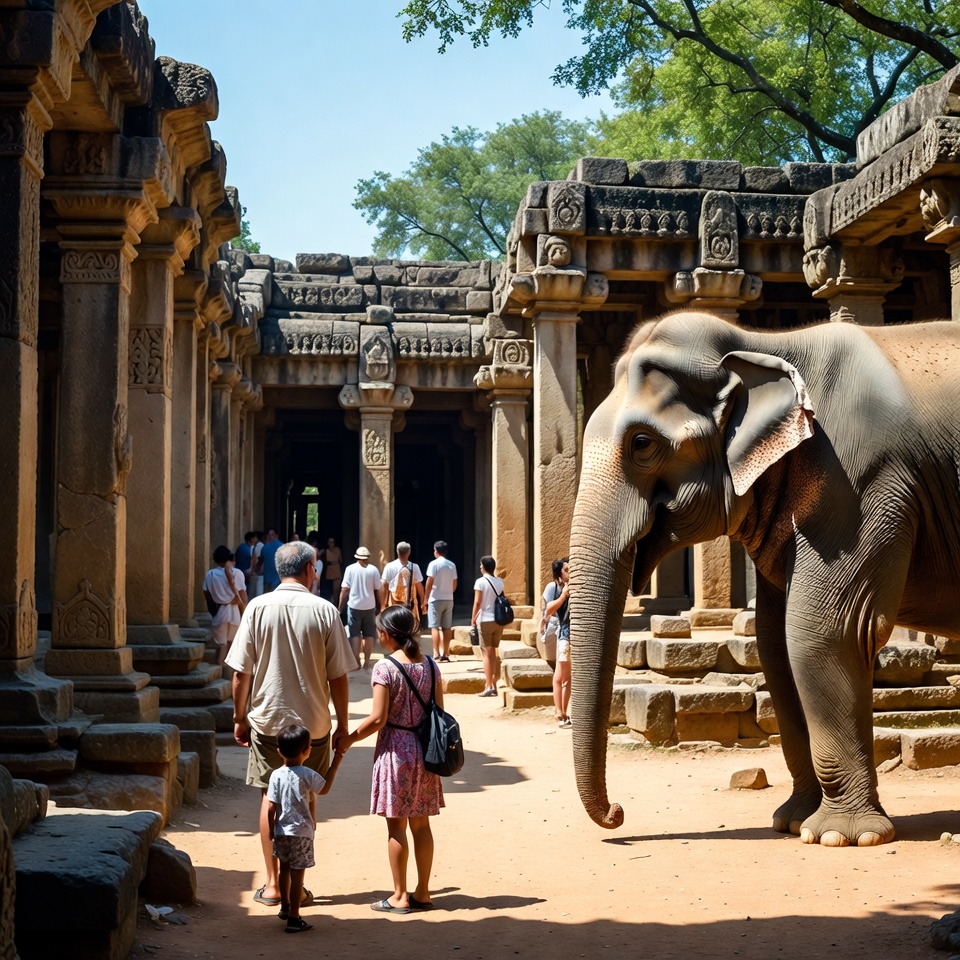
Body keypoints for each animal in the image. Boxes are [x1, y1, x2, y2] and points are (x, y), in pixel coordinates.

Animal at [570, 309, 960, 847]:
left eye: (642, 444)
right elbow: (775, 644)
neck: (763, 344)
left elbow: (823, 632)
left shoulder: (859, 481)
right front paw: (793, 822)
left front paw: (842, 836)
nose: (618, 816)